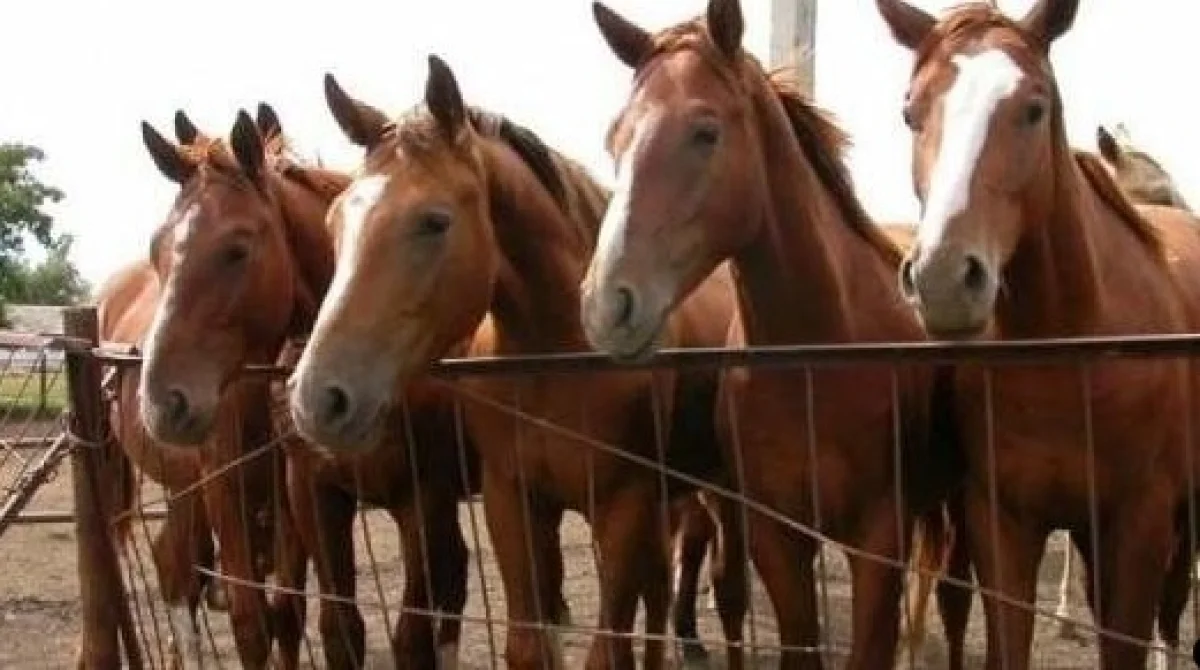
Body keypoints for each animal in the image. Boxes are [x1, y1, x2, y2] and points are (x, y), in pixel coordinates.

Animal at [140, 106, 492, 670]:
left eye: (236, 249)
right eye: (156, 249)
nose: (160, 403)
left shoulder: (423, 497)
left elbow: (410, 636)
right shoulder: (312, 493)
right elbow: (337, 628)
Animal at [286, 59, 744, 670]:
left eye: (434, 221)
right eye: (336, 221)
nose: (317, 398)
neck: (558, 358)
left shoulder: (622, 505)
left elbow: (607, 650)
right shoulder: (512, 501)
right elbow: (529, 645)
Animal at [576, 2, 960, 667]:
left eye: (705, 132)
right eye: (614, 136)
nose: (606, 304)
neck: (819, 354)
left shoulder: (878, 538)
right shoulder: (775, 537)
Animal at [878, 2, 1200, 667]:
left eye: (1033, 107)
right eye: (910, 112)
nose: (943, 279)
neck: (1068, 349)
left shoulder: (1141, 525)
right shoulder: (1000, 524)